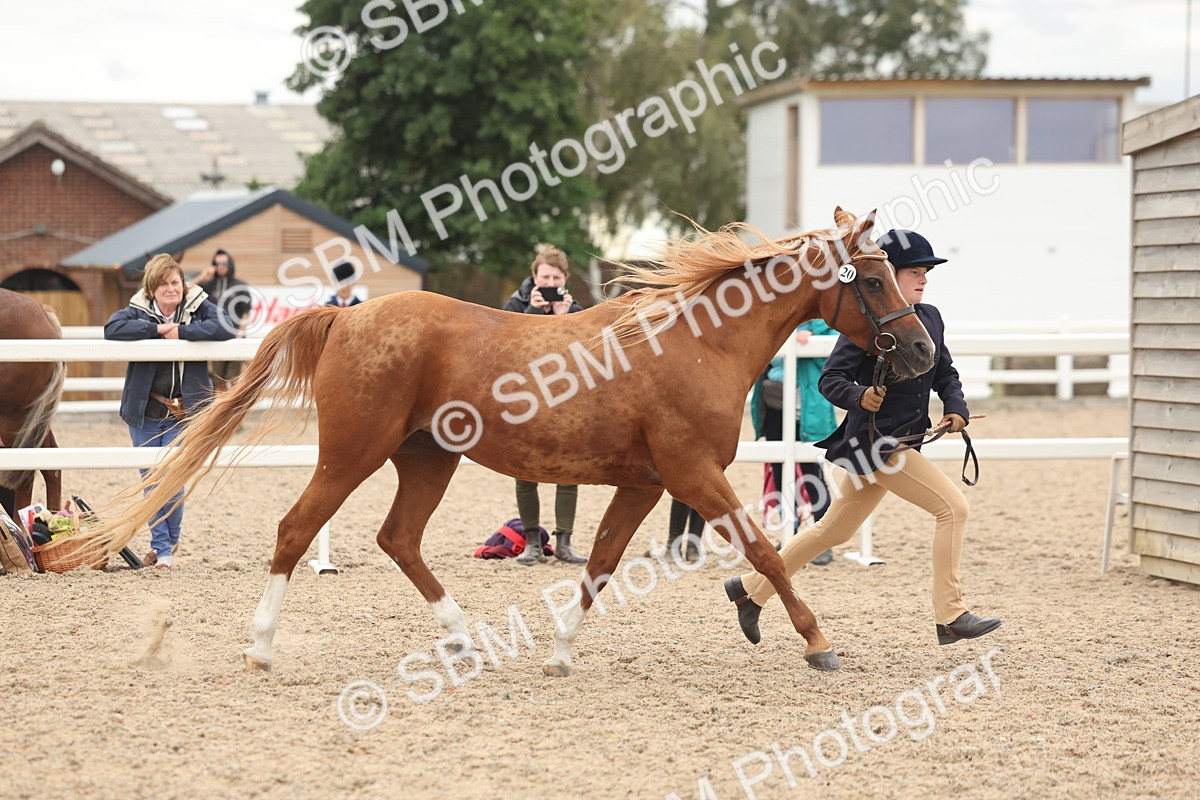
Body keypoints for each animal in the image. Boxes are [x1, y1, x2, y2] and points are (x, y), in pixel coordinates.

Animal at [82, 207, 934, 675]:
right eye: (873, 279)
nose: (923, 353)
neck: (696, 341)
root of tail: (346, 317)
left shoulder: (645, 482)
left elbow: (599, 564)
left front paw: (559, 652)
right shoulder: (695, 474)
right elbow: (765, 552)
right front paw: (816, 640)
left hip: (428, 459)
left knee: (399, 539)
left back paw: (462, 640)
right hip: (353, 454)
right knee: (297, 530)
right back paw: (260, 647)